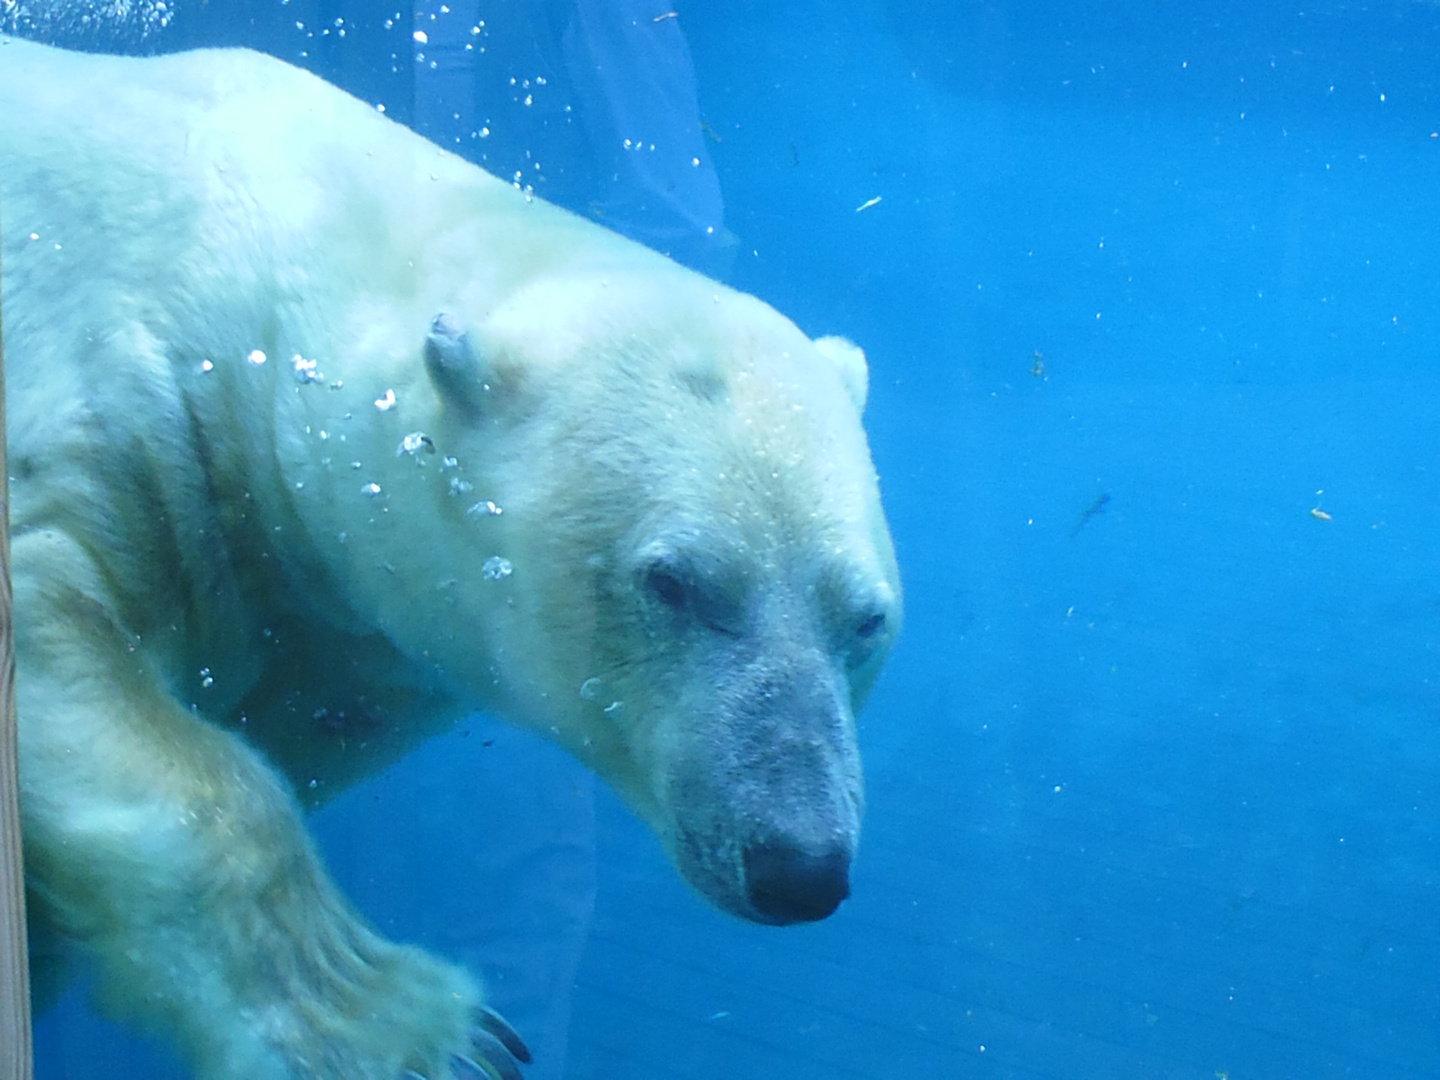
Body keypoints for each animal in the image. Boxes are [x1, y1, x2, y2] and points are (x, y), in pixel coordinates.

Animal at [0, 33, 898, 1080]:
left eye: (866, 621)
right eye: (675, 584)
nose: (800, 864)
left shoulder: (342, 646)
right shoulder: (125, 393)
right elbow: (62, 613)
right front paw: (425, 1035)